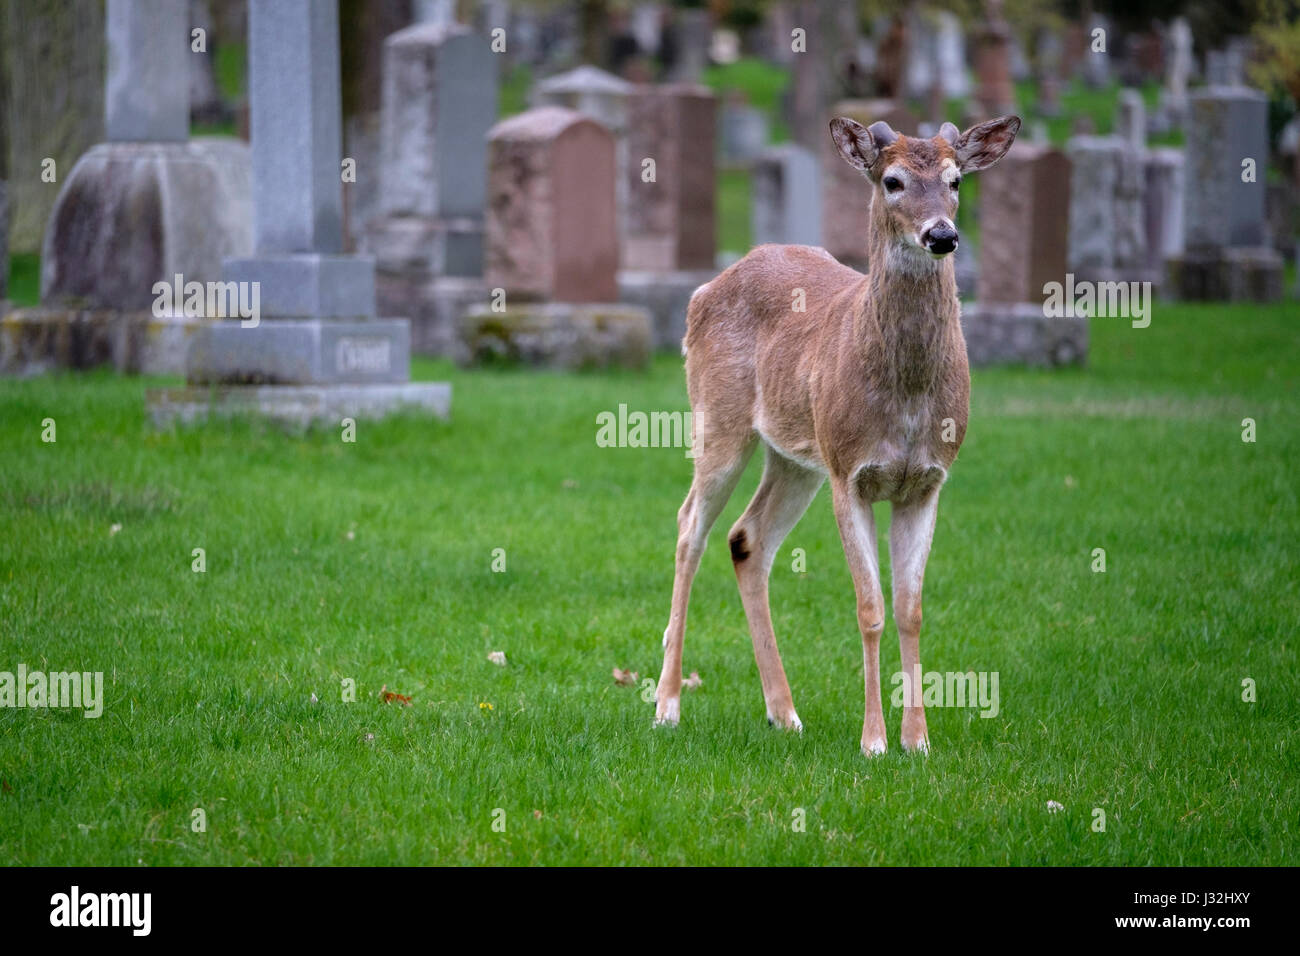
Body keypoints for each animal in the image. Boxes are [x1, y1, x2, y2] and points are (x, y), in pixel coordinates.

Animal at [655, 113, 1019, 754]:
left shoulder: (929, 480)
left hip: (797, 456)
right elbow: (869, 607)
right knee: (688, 527)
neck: (906, 399)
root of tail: (702, 290)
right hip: (719, 419)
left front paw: (918, 741)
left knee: (747, 538)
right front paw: (873, 741)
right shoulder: (850, 473)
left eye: (956, 180)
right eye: (892, 181)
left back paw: (784, 712)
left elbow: (910, 609)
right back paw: (667, 703)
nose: (943, 235)